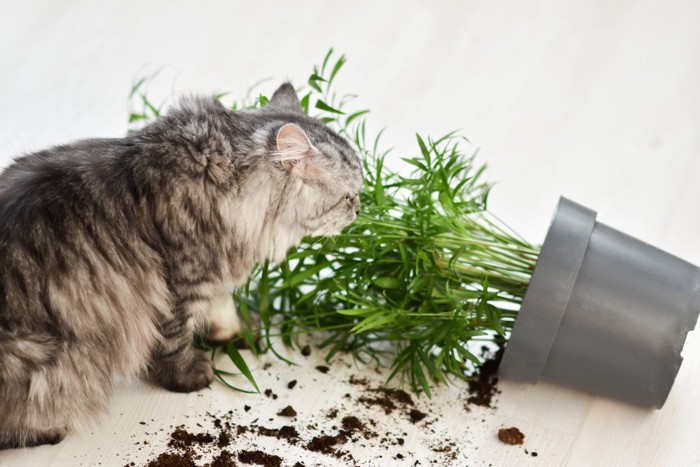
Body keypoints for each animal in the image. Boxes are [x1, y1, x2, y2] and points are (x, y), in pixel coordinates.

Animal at [0, 84, 360, 450]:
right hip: (38, 356)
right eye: (348, 196)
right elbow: (174, 340)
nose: (361, 208)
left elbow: (223, 311)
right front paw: (191, 375)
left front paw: (241, 331)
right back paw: (47, 430)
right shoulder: (181, 283)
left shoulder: (216, 276)